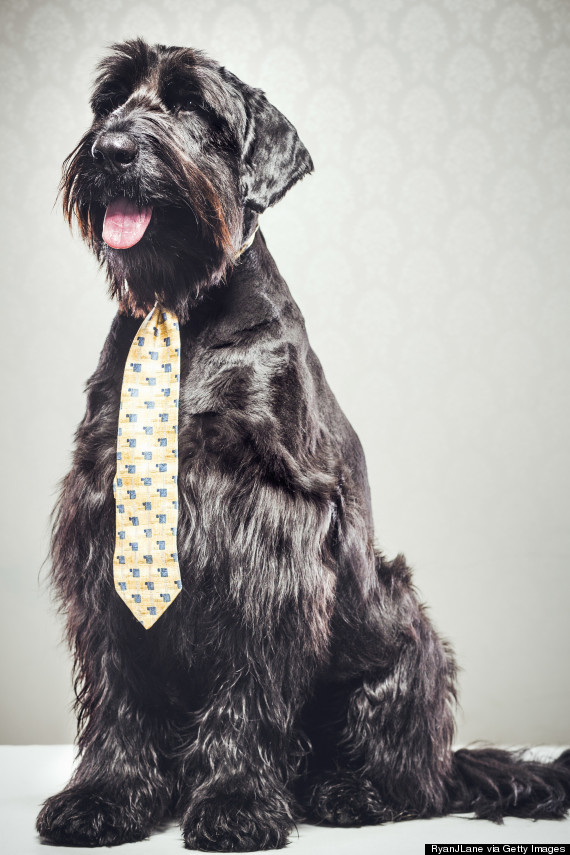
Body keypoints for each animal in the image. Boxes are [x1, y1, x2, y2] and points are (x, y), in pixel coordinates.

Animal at [36, 38, 568, 848]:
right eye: (109, 102)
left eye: (193, 106)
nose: (111, 150)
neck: (182, 309)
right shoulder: (106, 521)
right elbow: (118, 679)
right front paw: (106, 794)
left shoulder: (270, 534)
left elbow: (249, 688)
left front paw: (235, 803)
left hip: (404, 631)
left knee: (412, 779)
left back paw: (348, 789)